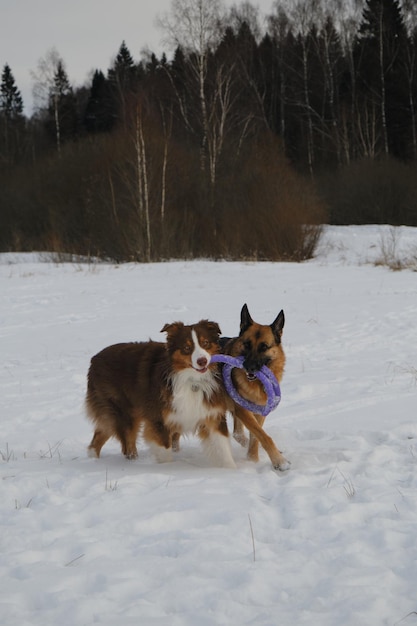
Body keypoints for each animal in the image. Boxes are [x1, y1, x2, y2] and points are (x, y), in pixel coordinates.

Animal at [85, 320, 236, 466]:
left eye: (205, 343)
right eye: (187, 348)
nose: (202, 361)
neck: (191, 380)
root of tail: (94, 359)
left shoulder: (211, 413)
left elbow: (222, 447)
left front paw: (230, 470)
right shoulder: (158, 420)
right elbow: (165, 451)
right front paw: (166, 469)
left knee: (98, 437)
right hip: (123, 412)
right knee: (128, 445)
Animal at [221, 302, 290, 468]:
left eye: (264, 347)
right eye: (247, 344)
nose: (249, 367)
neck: (257, 384)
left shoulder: (259, 410)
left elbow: (256, 437)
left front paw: (253, 460)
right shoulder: (242, 410)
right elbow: (263, 436)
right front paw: (279, 461)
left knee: (238, 433)